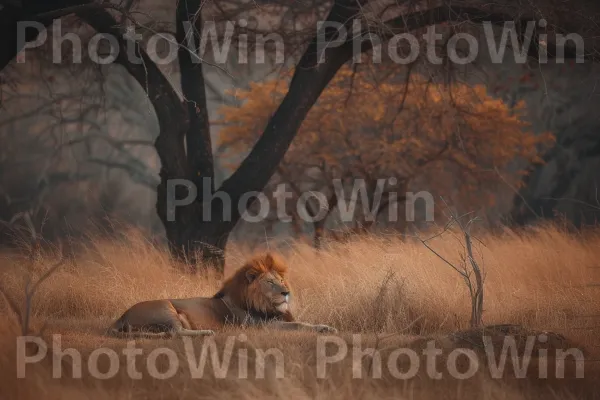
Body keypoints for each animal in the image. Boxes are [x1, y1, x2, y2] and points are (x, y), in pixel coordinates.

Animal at [108, 253, 338, 338]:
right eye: (270, 282)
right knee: (176, 332)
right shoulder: (262, 326)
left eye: (281, 281)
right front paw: (324, 329)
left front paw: (326, 327)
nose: (286, 292)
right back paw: (207, 332)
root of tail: (120, 318)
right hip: (165, 307)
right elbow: (298, 324)